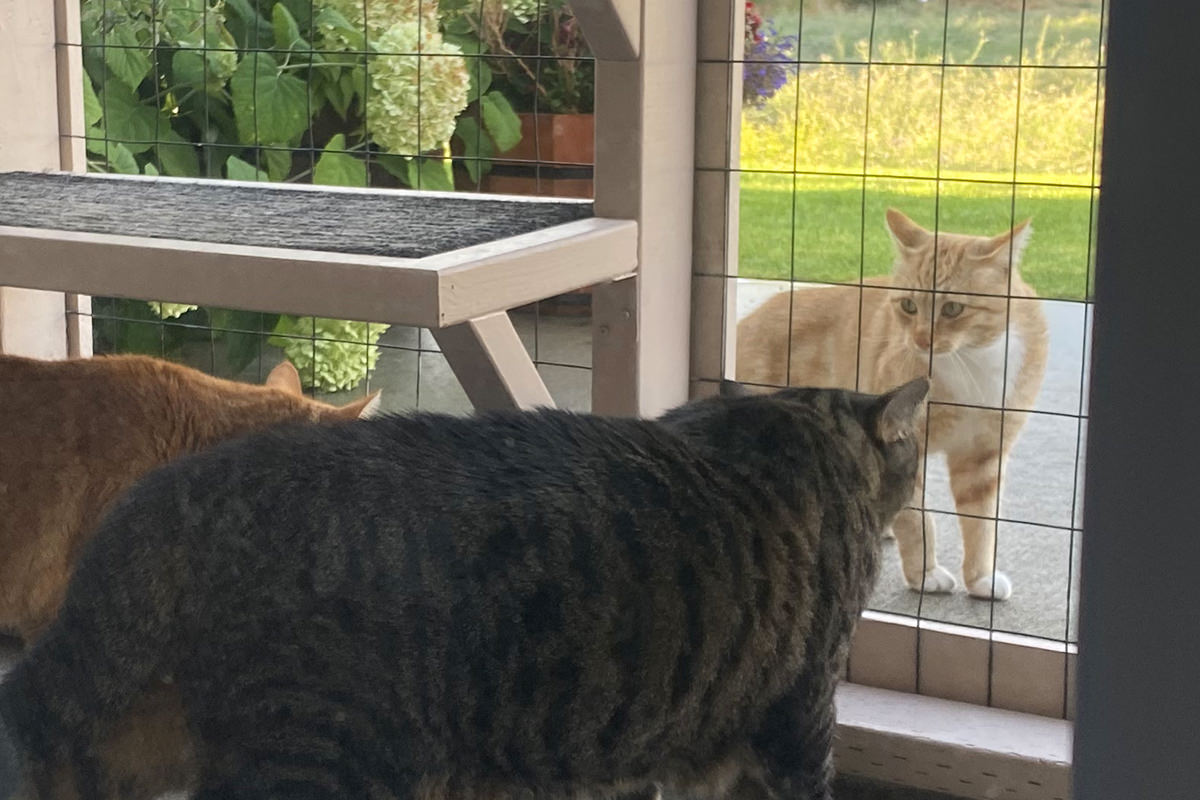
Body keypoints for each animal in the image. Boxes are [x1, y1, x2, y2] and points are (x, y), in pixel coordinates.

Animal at [734, 209, 1046, 597]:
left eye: (953, 308)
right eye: (909, 305)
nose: (921, 340)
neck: (970, 361)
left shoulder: (984, 455)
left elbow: (982, 522)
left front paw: (980, 579)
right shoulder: (903, 444)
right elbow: (916, 519)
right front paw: (925, 574)